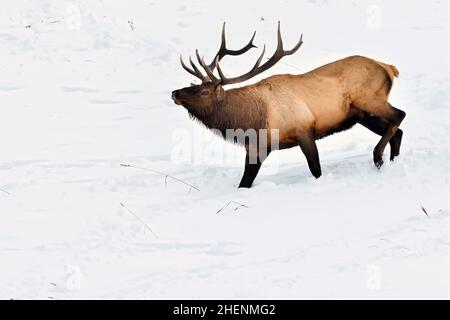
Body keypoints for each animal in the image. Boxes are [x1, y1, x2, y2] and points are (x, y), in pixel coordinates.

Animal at [171, 21, 404, 188]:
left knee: (399, 115)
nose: (174, 92)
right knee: (397, 131)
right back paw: (392, 161)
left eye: (204, 91)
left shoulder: (304, 130)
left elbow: (316, 169)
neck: (252, 121)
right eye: (193, 84)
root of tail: (389, 67)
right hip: (362, 114)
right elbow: (244, 183)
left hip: (370, 100)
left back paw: (378, 156)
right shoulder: (256, 148)